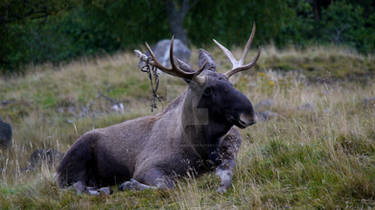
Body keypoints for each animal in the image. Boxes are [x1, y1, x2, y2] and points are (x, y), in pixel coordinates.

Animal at [56, 23, 262, 194]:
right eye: (208, 90)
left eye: (229, 82)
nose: (249, 113)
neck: (201, 146)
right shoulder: (146, 167)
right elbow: (167, 185)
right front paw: (129, 184)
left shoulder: (228, 157)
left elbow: (227, 177)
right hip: (75, 159)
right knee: (74, 186)